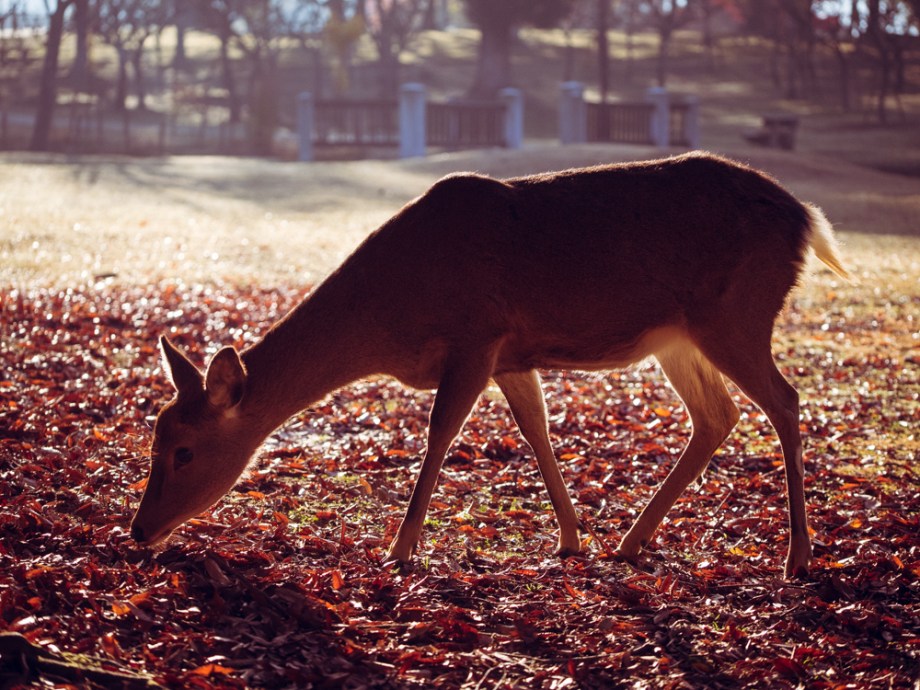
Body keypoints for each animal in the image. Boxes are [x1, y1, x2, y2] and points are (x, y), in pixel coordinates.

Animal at [129, 151, 849, 578]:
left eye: (185, 450)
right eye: (153, 438)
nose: (139, 530)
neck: (389, 318)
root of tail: (808, 219)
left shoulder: (476, 336)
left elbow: (439, 434)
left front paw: (399, 549)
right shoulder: (511, 356)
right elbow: (538, 433)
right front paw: (571, 539)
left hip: (737, 315)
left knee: (785, 401)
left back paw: (798, 555)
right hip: (678, 338)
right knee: (717, 415)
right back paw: (630, 540)